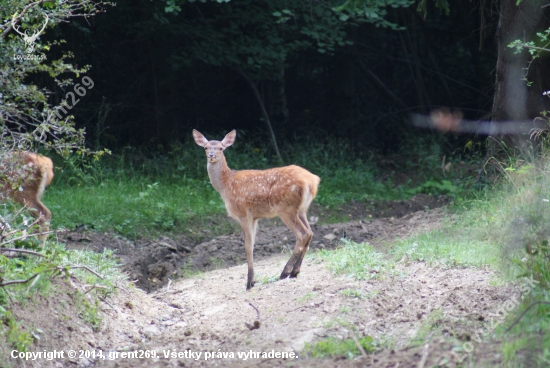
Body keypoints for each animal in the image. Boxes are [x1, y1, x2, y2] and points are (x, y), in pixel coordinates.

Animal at [195, 130, 322, 290]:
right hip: (302, 210)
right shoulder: (255, 217)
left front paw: (249, 282)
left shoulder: (243, 213)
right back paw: (295, 271)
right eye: (205, 147)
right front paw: (253, 280)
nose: (211, 155)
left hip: (285, 207)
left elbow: (247, 247)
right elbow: (253, 244)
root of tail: (312, 181)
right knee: (310, 233)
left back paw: (285, 272)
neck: (225, 185)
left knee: (303, 234)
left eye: (221, 148)